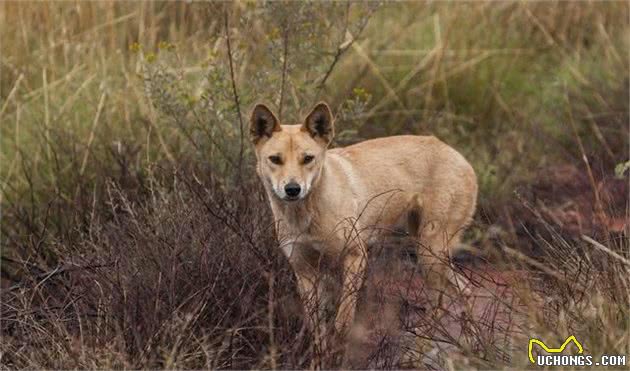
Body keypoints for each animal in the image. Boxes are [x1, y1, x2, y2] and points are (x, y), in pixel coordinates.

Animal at [249, 101, 476, 348]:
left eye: (308, 158)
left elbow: (342, 321)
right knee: (465, 290)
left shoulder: (355, 256)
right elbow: (317, 328)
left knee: (443, 302)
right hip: (428, 251)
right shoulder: (305, 271)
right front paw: (321, 355)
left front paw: (340, 350)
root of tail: (457, 154)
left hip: (430, 252)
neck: (306, 215)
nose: (292, 189)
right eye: (275, 159)